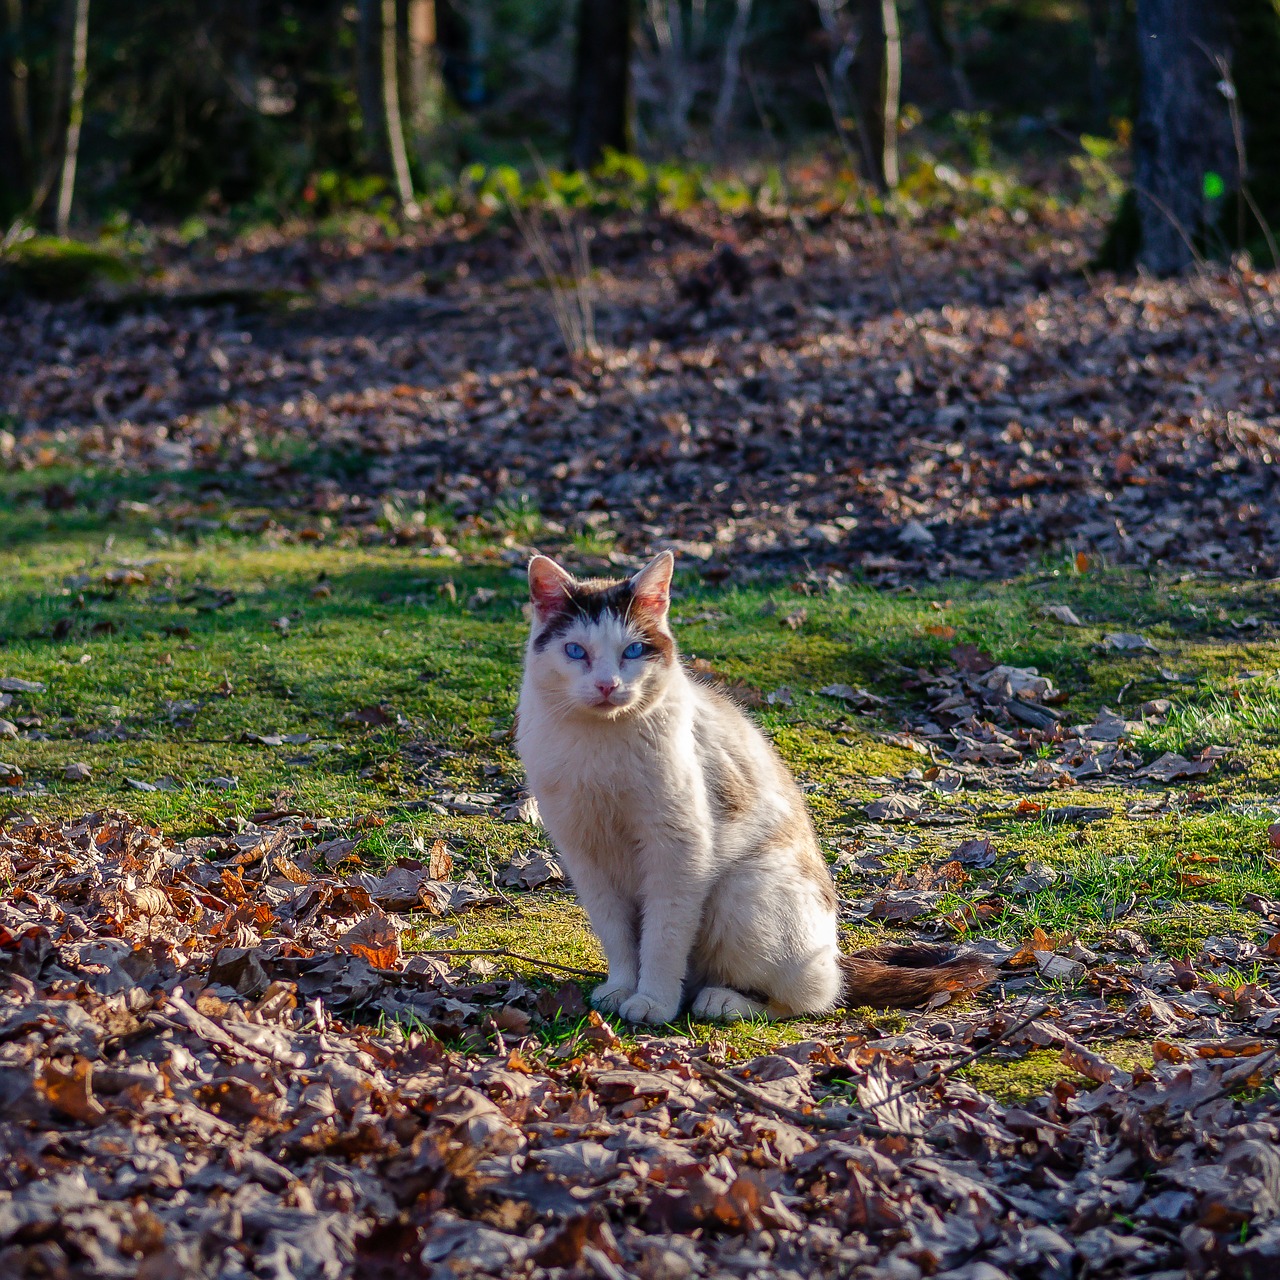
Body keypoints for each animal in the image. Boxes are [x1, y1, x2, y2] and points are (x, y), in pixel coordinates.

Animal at [514, 552, 993, 1029]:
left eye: (633, 650)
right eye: (576, 651)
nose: (608, 685)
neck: (599, 744)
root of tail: (836, 954)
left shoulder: (678, 851)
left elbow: (663, 937)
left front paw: (653, 1000)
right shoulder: (586, 855)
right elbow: (616, 934)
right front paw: (621, 987)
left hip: (744, 889)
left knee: (811, 996)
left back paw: (722, 1001)